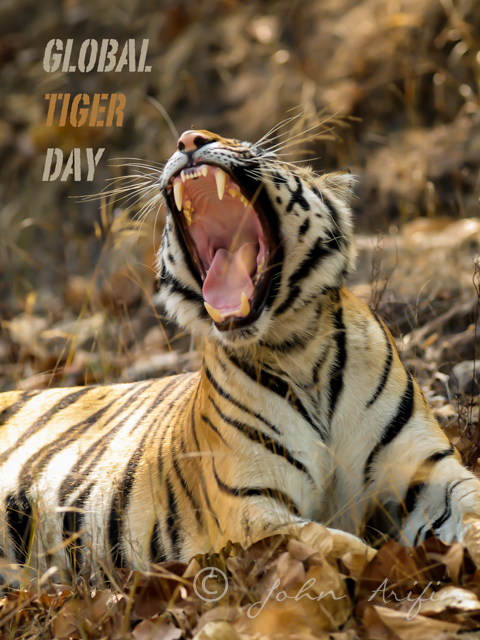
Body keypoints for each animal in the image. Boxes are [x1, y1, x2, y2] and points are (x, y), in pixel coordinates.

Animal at [1, 128, 480, 583]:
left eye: (253, 147)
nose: (189, 139)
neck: (298, 348)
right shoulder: (251, 505)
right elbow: (337, 545)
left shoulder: (429, 469)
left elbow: (471, 502)